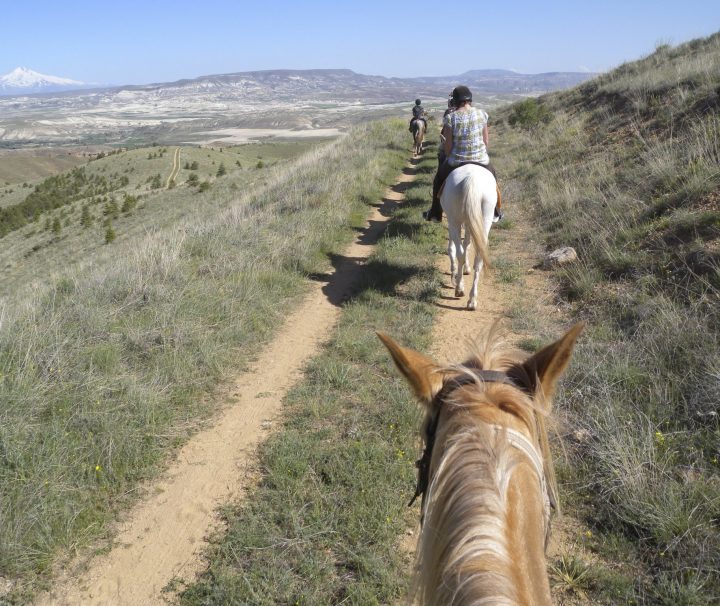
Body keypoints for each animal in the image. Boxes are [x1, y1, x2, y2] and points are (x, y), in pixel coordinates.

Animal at [436, 164, 498, 312]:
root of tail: (472, 178)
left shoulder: (455, 223)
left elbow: (454, 248)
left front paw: (455, 275)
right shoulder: (471, 222)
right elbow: (468, 244)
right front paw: (467, 269)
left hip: (454, 221)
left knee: (460, 253)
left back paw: (459, 288)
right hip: (484, 220)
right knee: (479, 257)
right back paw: (472, 300)